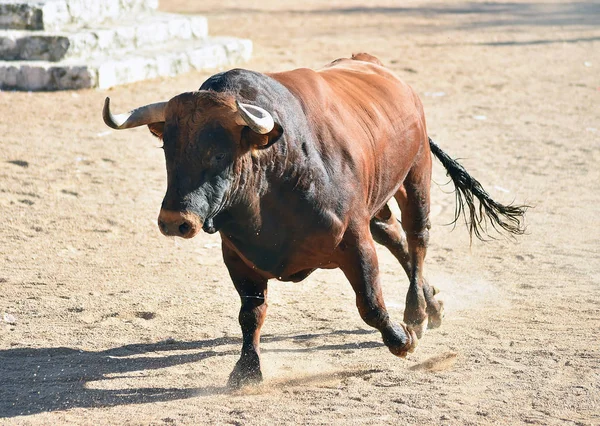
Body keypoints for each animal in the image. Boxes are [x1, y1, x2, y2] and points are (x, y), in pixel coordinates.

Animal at [103, 52, 524, 386]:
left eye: (220, 153)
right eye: (168, 149)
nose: (175, 220)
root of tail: (375, 64)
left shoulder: (353, 239)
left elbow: (370, 301)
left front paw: (402, 339)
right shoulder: (237, 255)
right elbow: (250, 313)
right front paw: (246, 370)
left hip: (415, 175)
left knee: (418, 238)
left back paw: (416, 313)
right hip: (377, 204)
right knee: (395, 237)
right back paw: (431, 303)